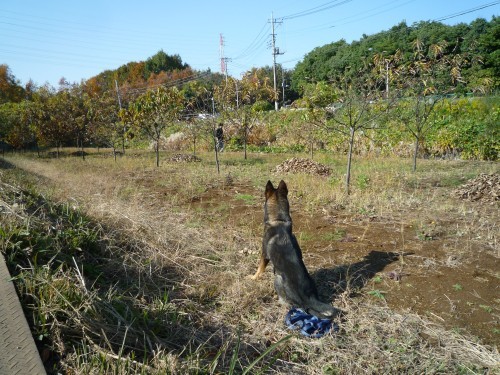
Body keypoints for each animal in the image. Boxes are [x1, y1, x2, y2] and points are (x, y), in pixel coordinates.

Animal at [250, 181, 336, 318]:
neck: (279, 220)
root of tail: (306, 299)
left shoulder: (264, 255)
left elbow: (259, 269)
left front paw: (253, 278)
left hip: (277, 279)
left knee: (286, 302)